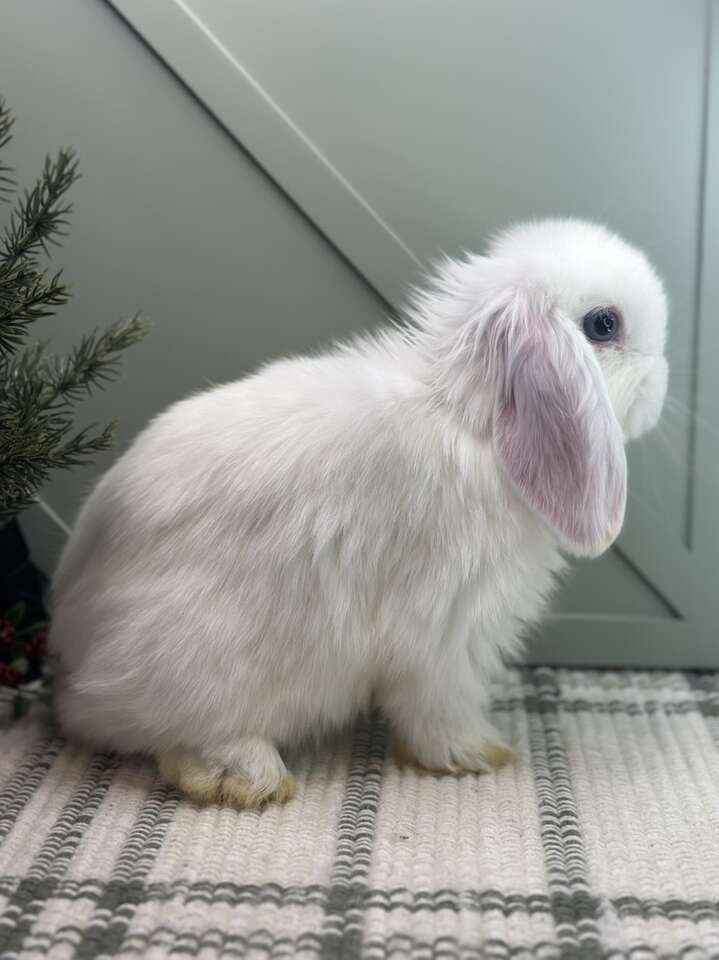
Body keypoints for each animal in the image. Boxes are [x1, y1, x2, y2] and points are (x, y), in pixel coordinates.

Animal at [50, 221, 668, 808]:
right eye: (604, 325)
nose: (662, 381)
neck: (473, 420)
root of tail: (73, 651)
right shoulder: (445, 630)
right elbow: (440, 705)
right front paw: (478, 753)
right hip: (210, 664)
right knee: (173, 736)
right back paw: (249, 778)